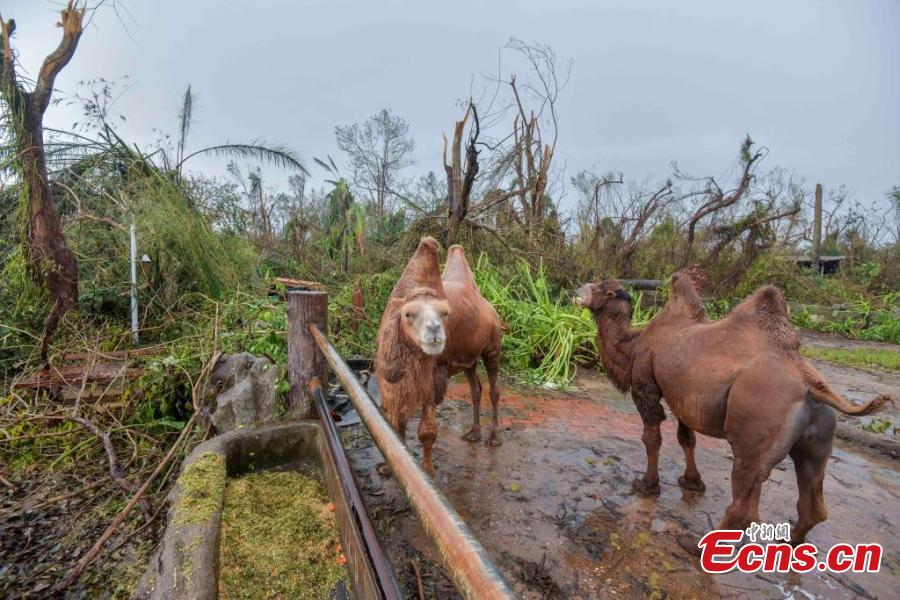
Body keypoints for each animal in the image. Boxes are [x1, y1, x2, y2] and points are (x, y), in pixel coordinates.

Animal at [439, 245, 503, 446]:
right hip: (468, 358)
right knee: (476, 390)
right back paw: (474, 434)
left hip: (493, 347)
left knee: (493, 389)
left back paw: (494, 437)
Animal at [576, 273, 890, 543]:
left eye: (602, 288)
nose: (576, 291)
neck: (636, 341)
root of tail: (810, 382)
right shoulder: (684, 398)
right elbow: (686, 438)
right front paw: (692, 482)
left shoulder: (645, 382)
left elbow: (652, 437)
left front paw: (648, 485)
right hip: (818, 435)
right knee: (812, 498)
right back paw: (789, 542)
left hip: (755, 424)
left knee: (744, 498)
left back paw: (697, 544)